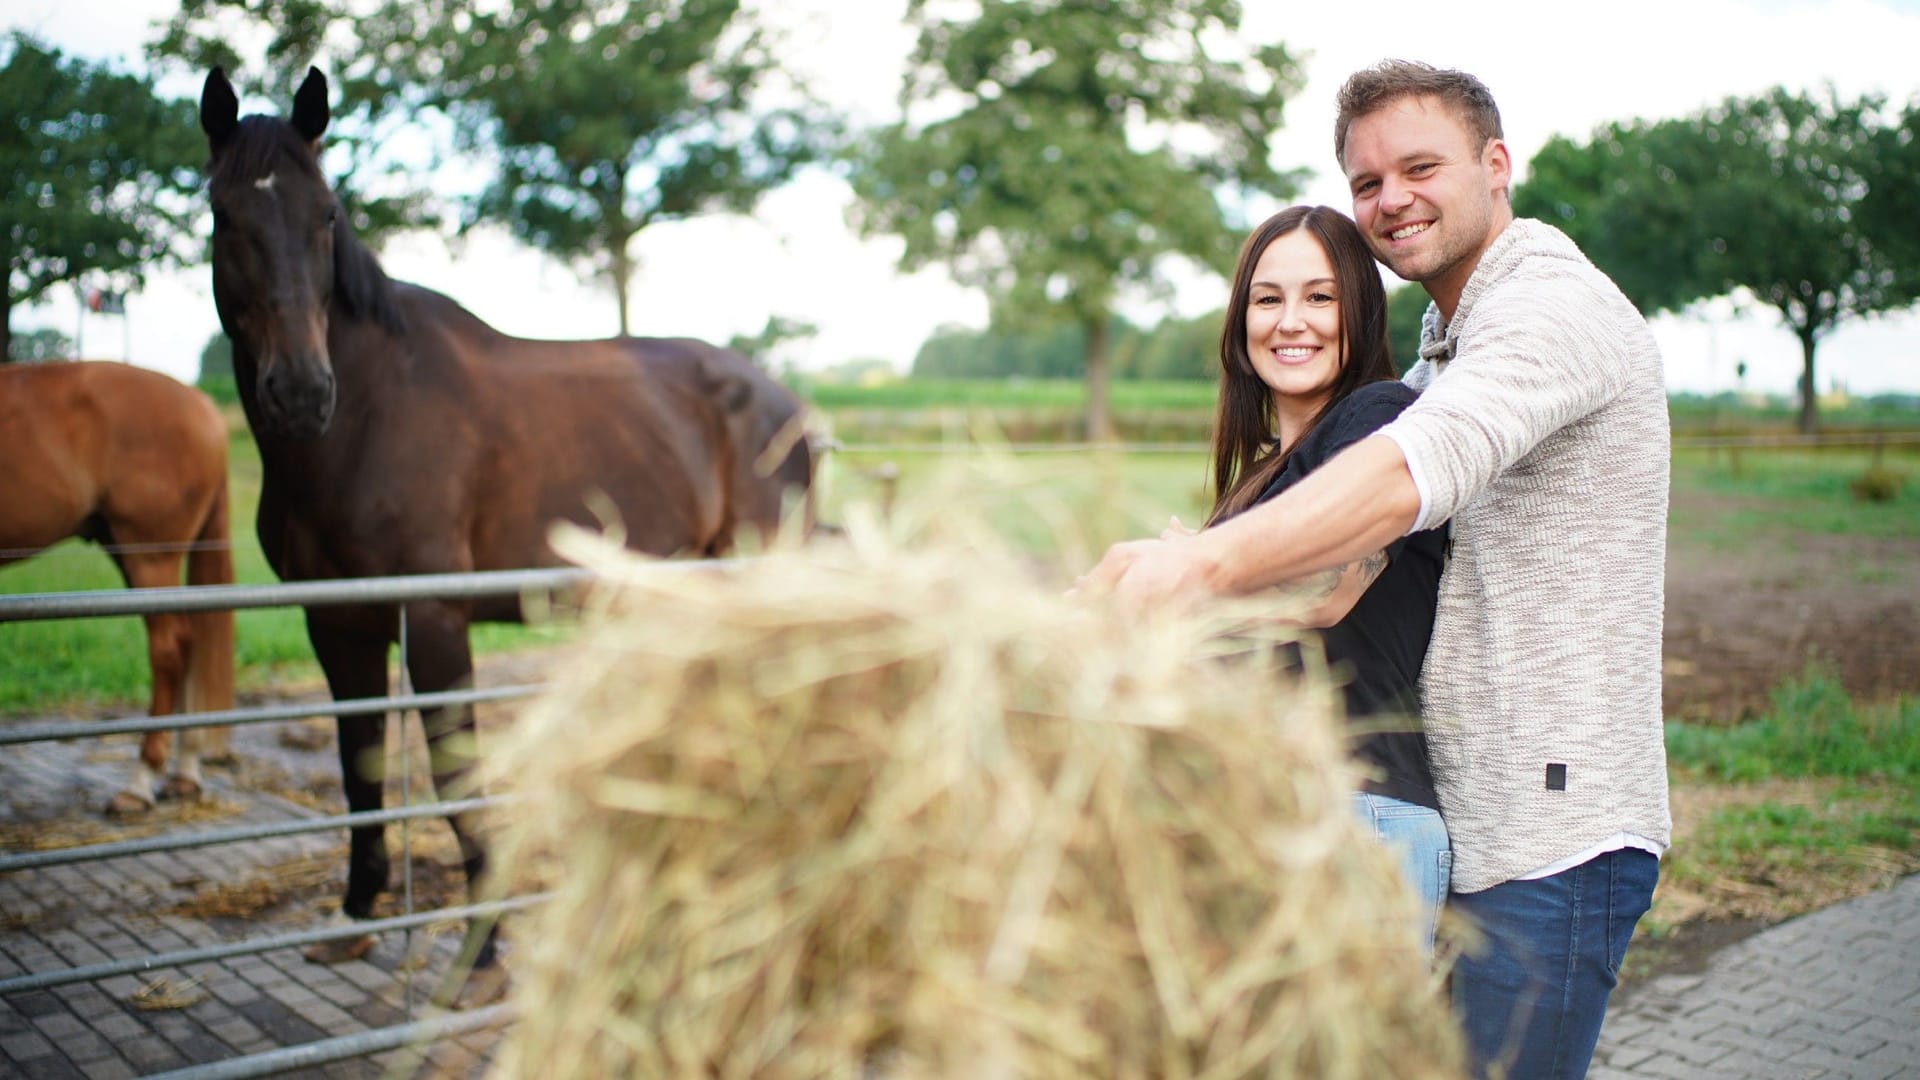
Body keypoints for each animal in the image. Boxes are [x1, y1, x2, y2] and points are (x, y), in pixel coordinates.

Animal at [200, 65, 810, 991]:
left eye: (326, 216)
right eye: (224, 215)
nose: (301, 393)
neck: (368, 417)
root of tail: (786, 404)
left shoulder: (434, 619)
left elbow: (455, 775)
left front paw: (481, 948)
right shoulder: (336, 622)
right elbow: (358, 766)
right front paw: (354, 915)